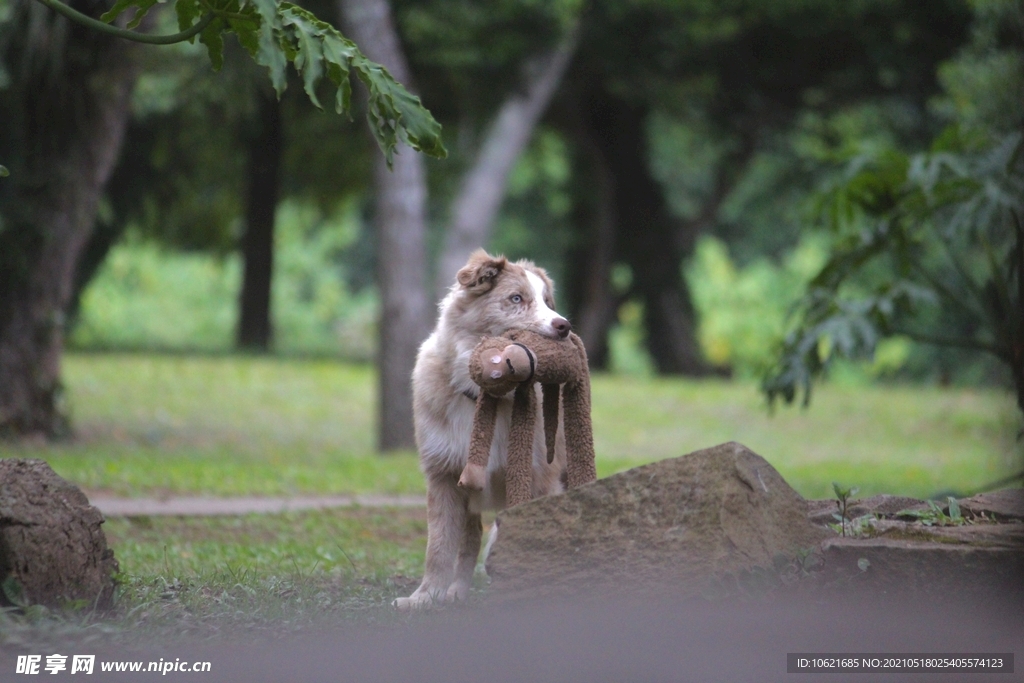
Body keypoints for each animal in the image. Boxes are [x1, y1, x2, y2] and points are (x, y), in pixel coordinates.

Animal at [391, 246, 573, 610]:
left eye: (547, 301)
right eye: (516, 298)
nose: (563, 326)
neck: (489, 398)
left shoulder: (539, 477)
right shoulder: (444, 475)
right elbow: (439, 545)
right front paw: (425, 596)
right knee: (471, 539)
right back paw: (456, 592)